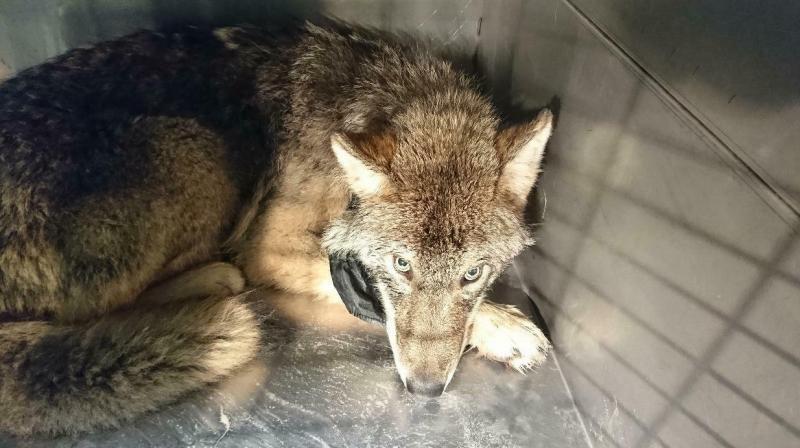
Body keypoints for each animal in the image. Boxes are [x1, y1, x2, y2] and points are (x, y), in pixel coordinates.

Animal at [0, 21, 552, 438]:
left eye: (473, 274)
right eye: (400, 265)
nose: (424, 390)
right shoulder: (268, 248)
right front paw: (503, 326)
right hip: (194, 147)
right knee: (96, 308)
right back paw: (215, 280)